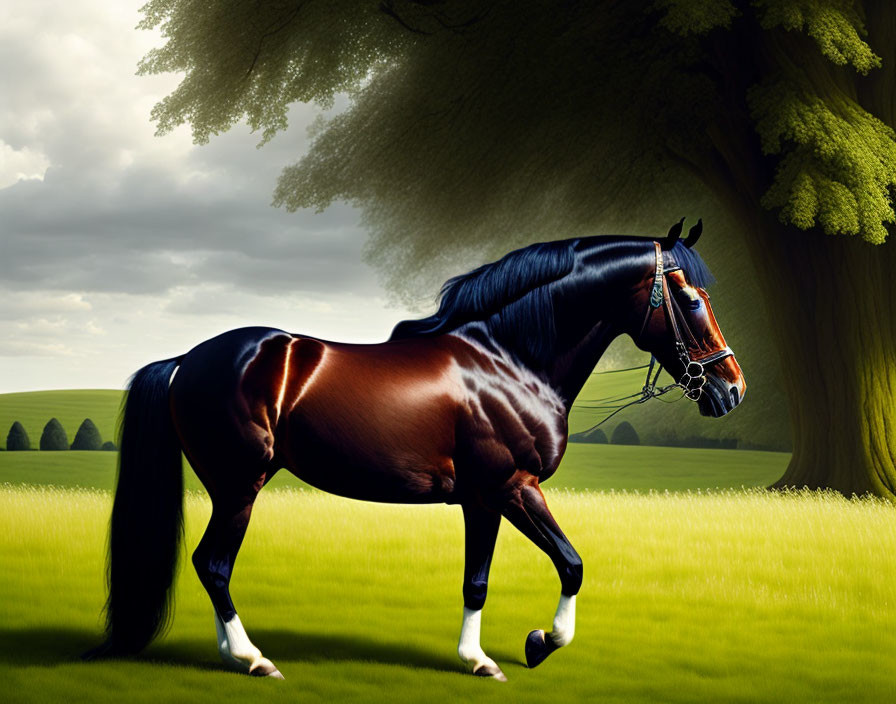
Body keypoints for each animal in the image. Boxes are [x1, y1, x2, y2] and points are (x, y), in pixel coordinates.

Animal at [86, 221, 744, 680]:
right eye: (690, 300)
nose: (731, 388)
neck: (507, 359)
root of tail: (186, 360)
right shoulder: (512, 488)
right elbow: (570, 564)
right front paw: (532, 646)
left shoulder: (483, 501)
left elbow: (481, 580)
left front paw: (485, 655)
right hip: (238, 487)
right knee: (214, 565)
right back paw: (253, 659)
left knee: (211, 567)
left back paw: (232, 654)